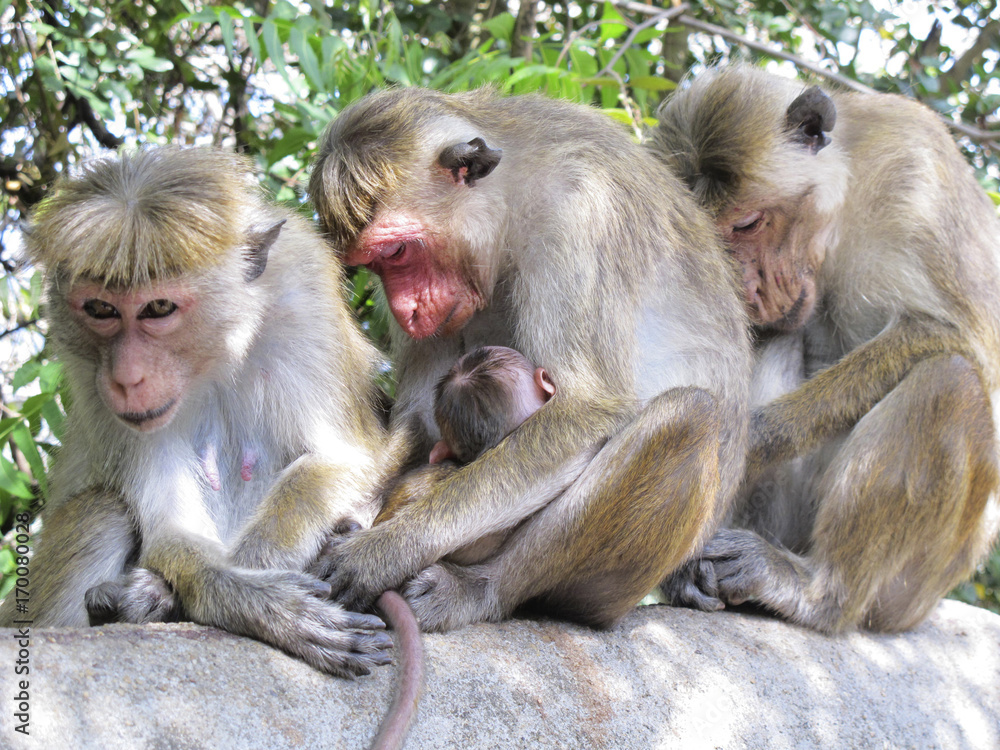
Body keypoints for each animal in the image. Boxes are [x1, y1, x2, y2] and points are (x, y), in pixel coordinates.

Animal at [0, 147, 402, 677]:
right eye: (101, 310)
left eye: (158, 308)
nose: (126, 378)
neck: (214, 355)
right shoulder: (92, 385)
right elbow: (171, 528)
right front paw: (262, 603)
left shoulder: (303, 302)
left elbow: (344, 460)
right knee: (102, 510)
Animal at [306, 86, 753, 633]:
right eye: (373, 264)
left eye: (396, 253)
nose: (405, 311)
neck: (515, 195)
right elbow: (421, 416)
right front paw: (353, 513)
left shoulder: (580, 212)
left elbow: (588, 408)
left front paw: (384, 550)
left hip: (622, 585)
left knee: (687, 416)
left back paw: (482, 589)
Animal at [647, 64, 1000, 633]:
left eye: (747, 223)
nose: (745, 289)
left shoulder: (916, 176)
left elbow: (958, 335)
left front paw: (749, 435)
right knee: (781, 337)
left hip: (917, 587)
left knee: (949, 381)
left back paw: (819, 591)